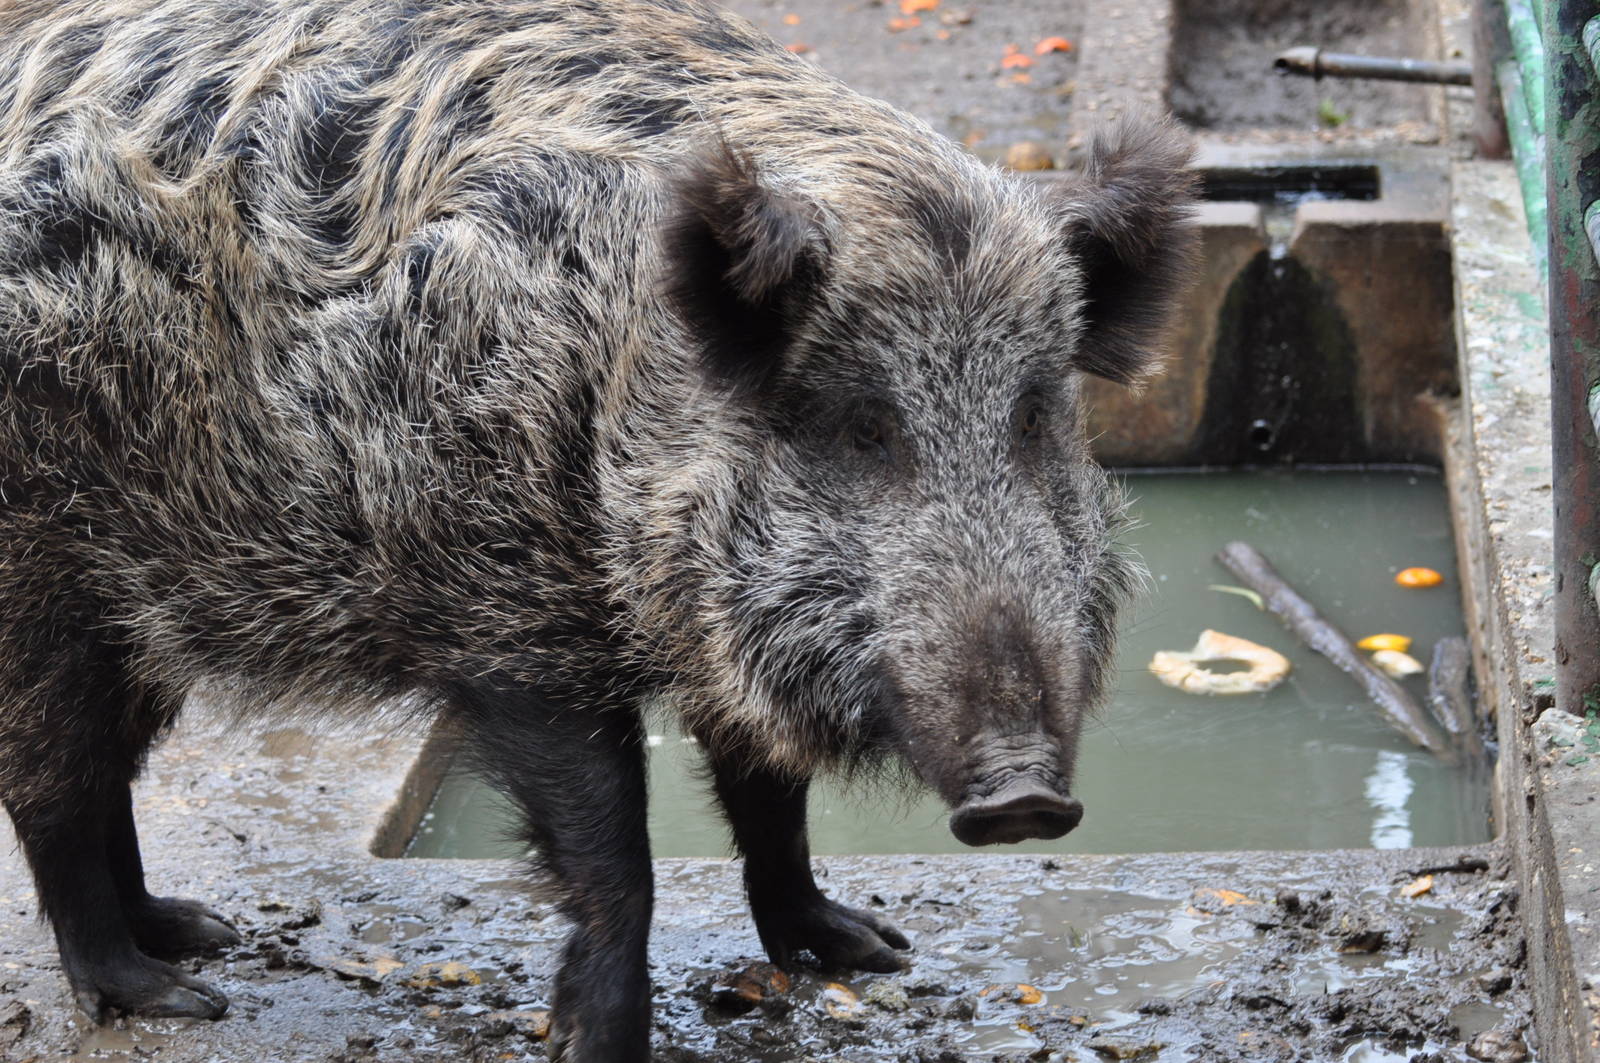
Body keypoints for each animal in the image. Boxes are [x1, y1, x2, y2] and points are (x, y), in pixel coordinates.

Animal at [0, 0, 1196, 1057]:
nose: (1024, 796)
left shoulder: (712, 626)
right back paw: (169, 993)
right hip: (42, 577)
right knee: (53, 792)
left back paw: (197, 930)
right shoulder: (509, 620)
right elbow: (618, 855)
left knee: (103, 775)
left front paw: (868, 948)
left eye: (1033, 415)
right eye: (865, 425)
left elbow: (771, 800)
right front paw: (599, 1042)